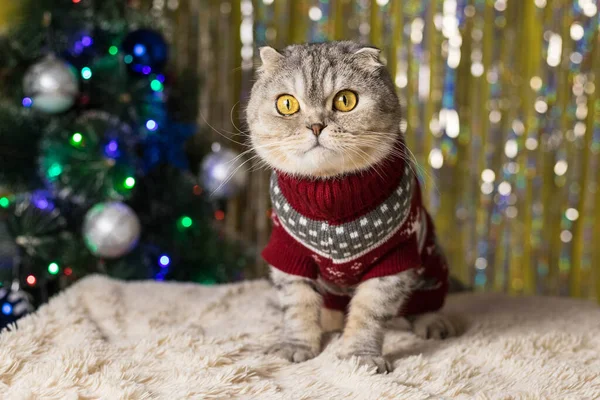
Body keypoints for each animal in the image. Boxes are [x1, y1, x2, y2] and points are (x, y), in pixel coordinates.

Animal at [246, 40, 458, 372]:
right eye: (287, 104)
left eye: (345, 100)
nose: (316, 126)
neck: (332, 198)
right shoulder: (288, 254)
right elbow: (297, 306)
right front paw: (297, 346)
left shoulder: (395, 259)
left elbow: (369, 312)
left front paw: (361, 354)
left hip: (432, 264)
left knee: (424, 305)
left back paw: (433, 322)